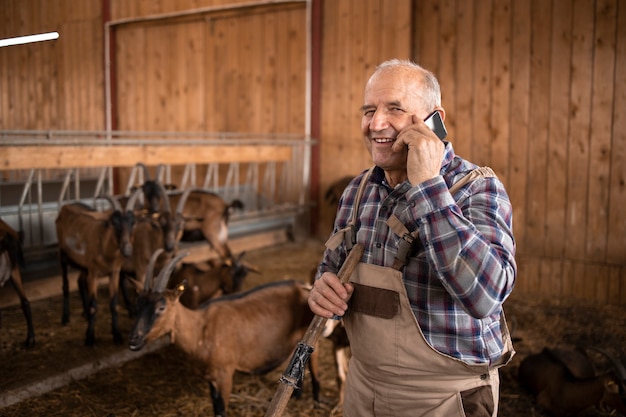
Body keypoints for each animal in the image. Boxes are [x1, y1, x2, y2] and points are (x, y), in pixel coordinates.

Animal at [55, 189, 141, 344]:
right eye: (114, 222)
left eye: (133, 222)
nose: (127, 250)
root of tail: (66, 207)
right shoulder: (93, 273)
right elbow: (94, 305)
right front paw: (90, 337)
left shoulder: (114, 273)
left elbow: (113, 304)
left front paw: (117, 334)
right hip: (62, 255)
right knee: (65, 285)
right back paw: (65, 318)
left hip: (84, 265)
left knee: (80, 281)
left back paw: (84, 312)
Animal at [129, 249, 320, 414]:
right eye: (138, 303)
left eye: (161, 307)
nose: (133, 340)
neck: (200, 328)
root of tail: (304, 287)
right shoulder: (211, 377)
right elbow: (214, 403)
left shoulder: (225, 374)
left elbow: (221, 408)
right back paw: (297, 395)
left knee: (313, 364)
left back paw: (317, 401)